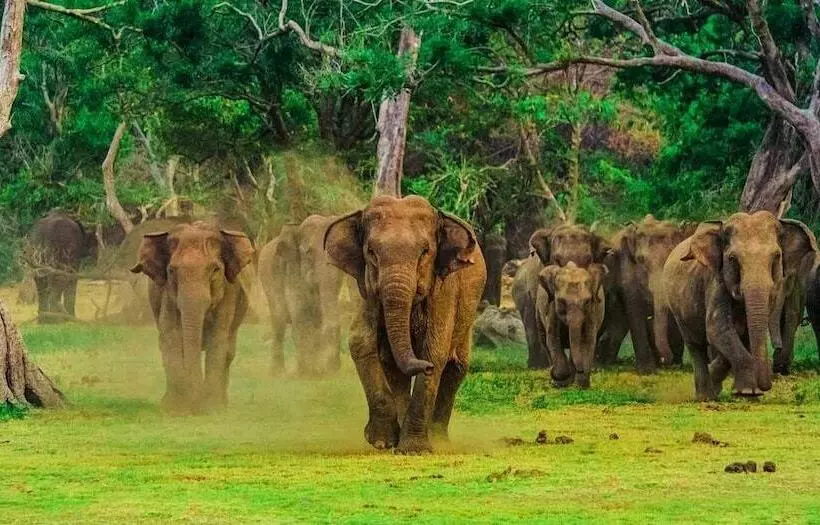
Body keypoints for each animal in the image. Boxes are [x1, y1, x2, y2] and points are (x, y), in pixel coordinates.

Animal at [130, 222, 254, 414]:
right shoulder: (167, 294)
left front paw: (210, 409)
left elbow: (217, 339)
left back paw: (222, 404)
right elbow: (171, 336)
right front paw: (176, 409)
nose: (196, 403)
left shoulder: (229, 292)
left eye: (215, 270)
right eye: (171, 271)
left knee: (228, 350)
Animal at [258, 215, 350, 376]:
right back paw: (278, 373)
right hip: (268, 280)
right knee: (279, 322)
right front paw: (306, 374)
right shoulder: (291, 268)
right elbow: (300, 312)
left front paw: (320, 371)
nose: (334, 368)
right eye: (309, 252)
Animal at [324, 195, 486, 454]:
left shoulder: (444, 289)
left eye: (425, 252)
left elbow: (435, 351)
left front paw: (414, 450)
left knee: (456, 369)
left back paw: (438, 439)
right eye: (371, 252)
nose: (425, 367)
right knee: (393, 367)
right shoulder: (366, 290)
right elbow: (361, 342)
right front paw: (381, 442)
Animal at [601, 215, 694, 371]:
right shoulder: (626, 267)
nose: (664, 361)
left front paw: (674, 365)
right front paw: (646, 370)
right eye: (641, 260)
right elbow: (634, 308)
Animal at [662, 212, 815, 400]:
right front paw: (747, 392)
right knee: (695, 344)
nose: (766, 386)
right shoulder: (716, 281)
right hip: (677, 307)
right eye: (732, 259)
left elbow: (741, 333)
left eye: (777, 256)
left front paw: (746, 391)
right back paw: (706, 397)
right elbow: (717, 328)